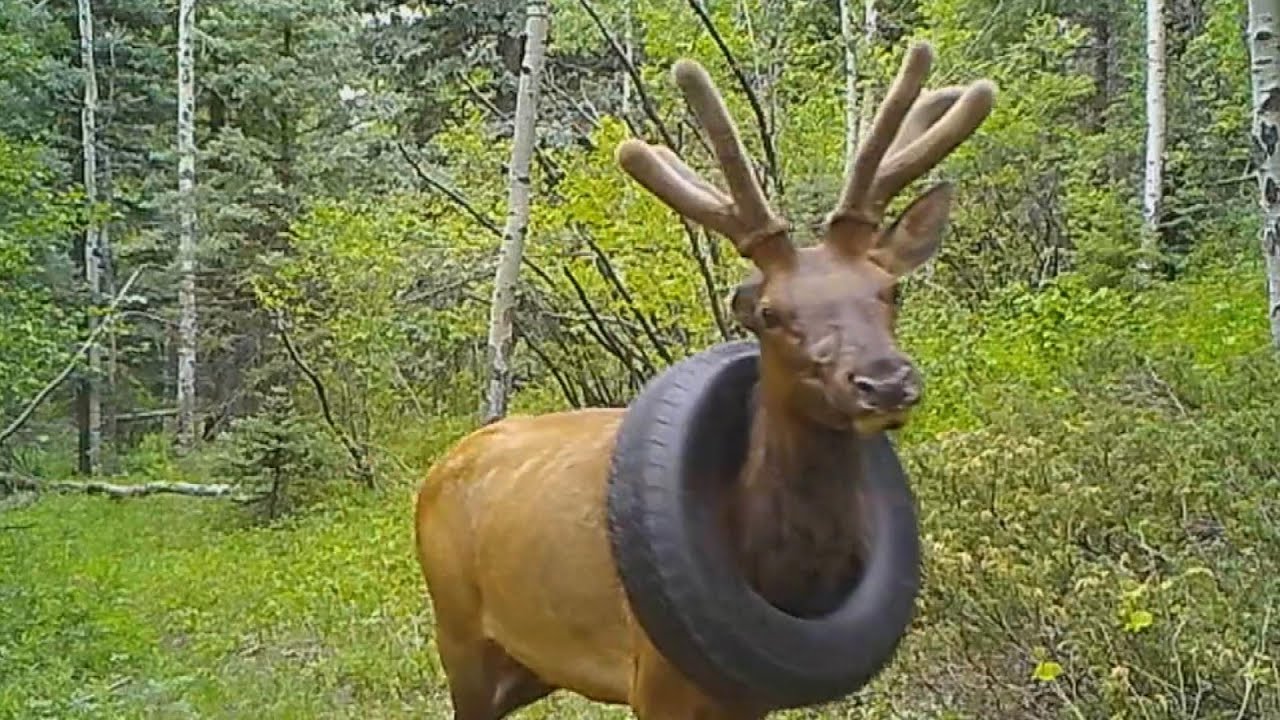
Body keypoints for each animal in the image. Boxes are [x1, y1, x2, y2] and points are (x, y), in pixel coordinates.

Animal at [414, 40, 993, 717]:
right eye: (770, 312)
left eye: (889, 289)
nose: (884, 381)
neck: (776, 569)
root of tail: (439, 468)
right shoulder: (655, 676)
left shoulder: (753, 693)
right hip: (457, 632)